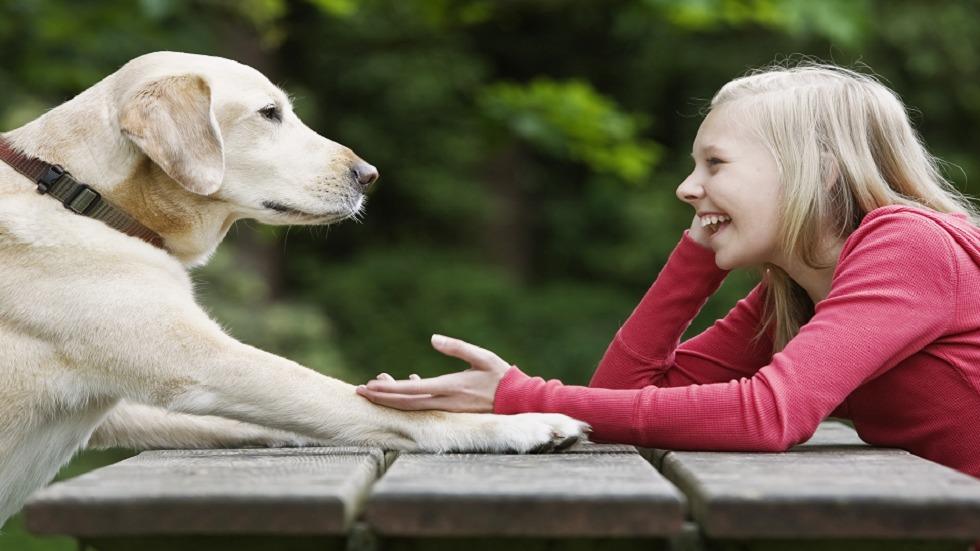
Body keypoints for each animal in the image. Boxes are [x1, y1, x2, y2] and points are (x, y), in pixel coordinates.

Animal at [0, 51, 584, 528]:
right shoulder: (205, 363)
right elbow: (367, 404)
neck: (80, 192)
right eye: (268, 113)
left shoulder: (121, 408)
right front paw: (522, 424)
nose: (369, 174)